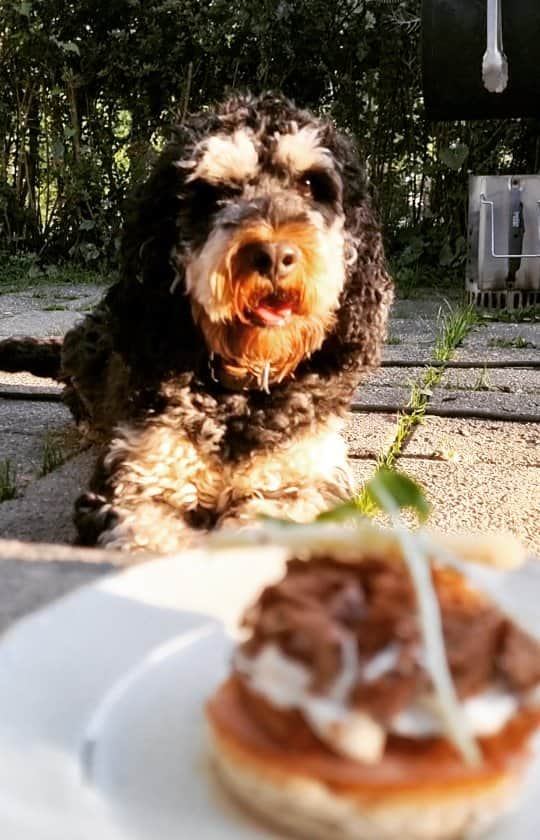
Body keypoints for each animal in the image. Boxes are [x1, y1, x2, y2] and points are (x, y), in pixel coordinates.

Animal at [0, 92, 392, 556]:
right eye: (213, 194)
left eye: (313, 185)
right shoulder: (136, 479)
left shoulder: (305, 483)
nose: (274, 255)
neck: (240, 390)